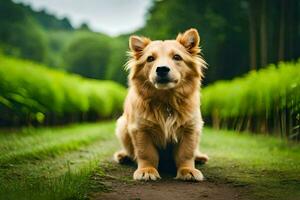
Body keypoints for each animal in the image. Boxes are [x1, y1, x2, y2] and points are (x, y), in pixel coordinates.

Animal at [113, 28, 207, 181]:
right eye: (150, 59)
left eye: (177, 57)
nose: (162, 69)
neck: (166, 101)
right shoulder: (140, 129)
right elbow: (146, 153)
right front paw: (147, 170)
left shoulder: (190, 128)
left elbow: (186, 153)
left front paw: (187, 170)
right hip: (122, 125)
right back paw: (124, 155)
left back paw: (199, 157)